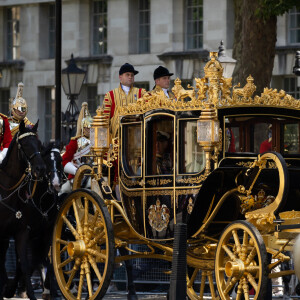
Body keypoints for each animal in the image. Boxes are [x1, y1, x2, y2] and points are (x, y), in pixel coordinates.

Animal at [3, 141, 64, 300]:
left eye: (60, 161)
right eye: (47, 161)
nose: (55, 184)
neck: (42, 202)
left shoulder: (47, 234)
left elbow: (46, 260)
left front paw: (49, 288)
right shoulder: (27, 232)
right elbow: (28, 260)